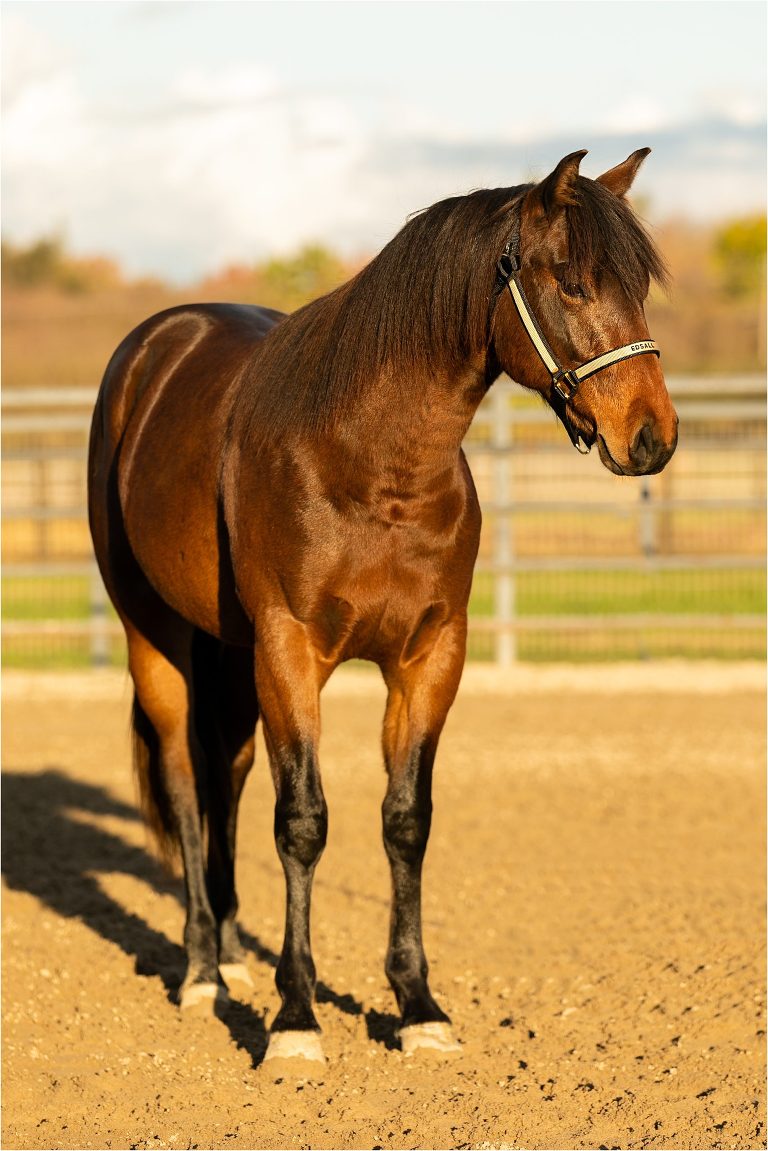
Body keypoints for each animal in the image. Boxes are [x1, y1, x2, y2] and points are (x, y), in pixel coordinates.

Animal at [88, 148, 678, 1066]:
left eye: (640, 284)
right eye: (571, 280)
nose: (652, 436)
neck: (369, 461)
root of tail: (157, 343)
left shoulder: (428, 657)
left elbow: (406, 820)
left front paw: (418, 1004)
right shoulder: (290, 651)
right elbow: (302, 822)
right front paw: (296, 1018)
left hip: (230, 654)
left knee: (226, 775)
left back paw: (232, 948)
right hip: (156, 635)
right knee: (185, 783)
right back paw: (202, 970)